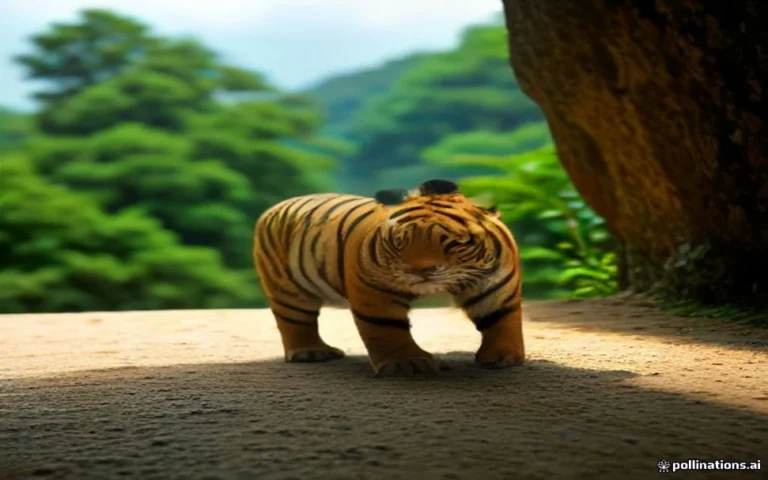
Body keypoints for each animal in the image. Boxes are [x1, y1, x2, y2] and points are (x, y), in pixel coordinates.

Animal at [252, 178, 525, 377]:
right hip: (287, 288)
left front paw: (504, 357)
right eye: (401, 241)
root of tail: (275, 207)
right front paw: (408, 364)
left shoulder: (495, 286)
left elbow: (501, 319)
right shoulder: (374, 291)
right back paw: (312, 352)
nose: (421, 270)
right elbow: (386, 329)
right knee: (296, 320)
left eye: (454, 243)